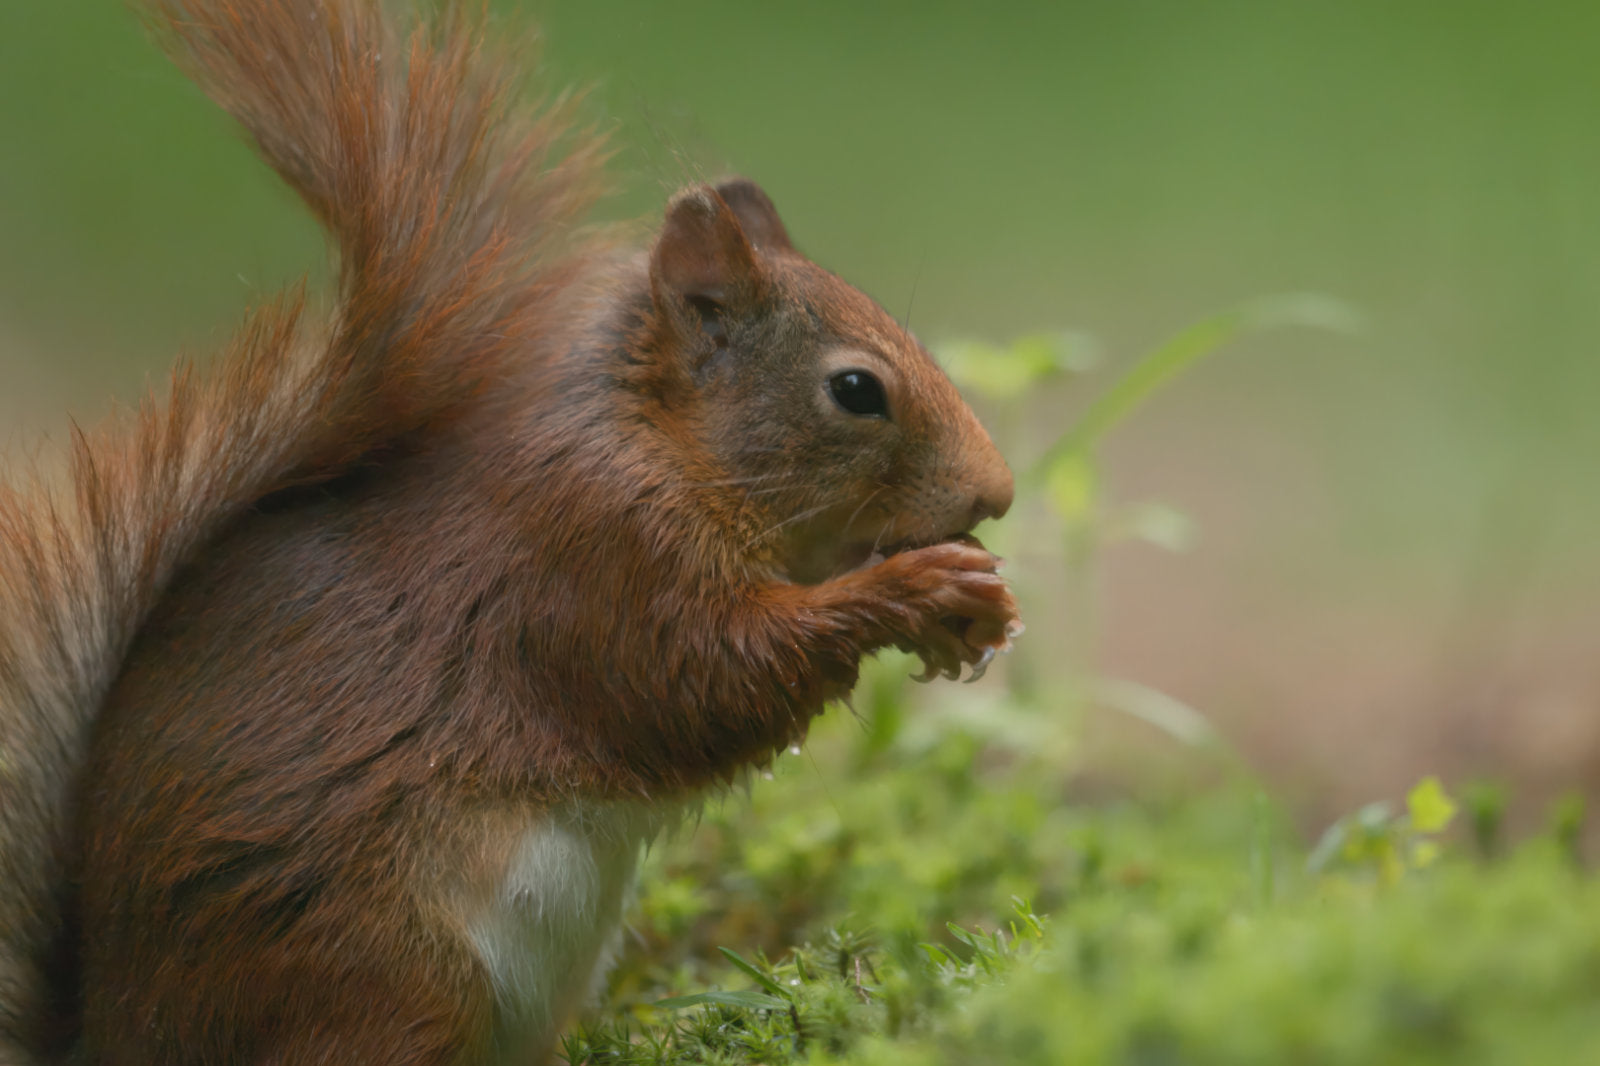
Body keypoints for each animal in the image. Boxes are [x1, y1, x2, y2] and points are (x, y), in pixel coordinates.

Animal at [0, 1, 1019, 1063]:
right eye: (857, 390)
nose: (997, 492)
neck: (663, 444)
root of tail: (118, 1031)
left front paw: (969, 613)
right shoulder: (590, 555)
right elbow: (703, 678)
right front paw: (914, 590)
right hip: (386, 972)